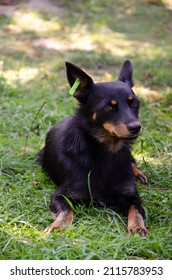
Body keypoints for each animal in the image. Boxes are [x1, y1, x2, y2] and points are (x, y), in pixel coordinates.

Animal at [37, 59, 148, 236]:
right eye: (109, 107)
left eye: (135, 104)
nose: (136, 127)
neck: (105, 153)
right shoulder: (61, 195)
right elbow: (66, 211)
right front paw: (59, 225)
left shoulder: (131, 195)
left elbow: (136, 210)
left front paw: (137, 226)